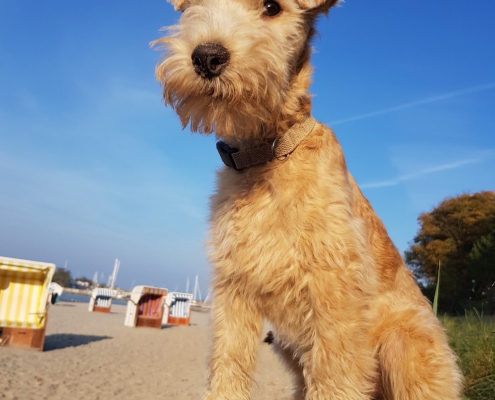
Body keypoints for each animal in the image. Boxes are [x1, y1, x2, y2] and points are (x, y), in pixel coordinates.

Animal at [155, 0, 464, 400]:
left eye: (272, 8)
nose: (207, 56)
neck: (268, 158)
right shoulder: (234, 289)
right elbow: (229, 366)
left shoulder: (335, 293)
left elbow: (336, 380)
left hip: (405, 345)